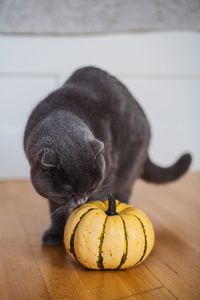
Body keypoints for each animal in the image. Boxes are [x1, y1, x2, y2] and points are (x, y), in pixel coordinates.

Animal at [23, 67, 191, 245]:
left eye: (91, 187)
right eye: (68, 194)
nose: (82, 200)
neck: (62, 111)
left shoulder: (107, 175)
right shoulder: (53, 194)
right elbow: (56, 210)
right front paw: (55, 234)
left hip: (127, 171)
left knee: (125, 191)